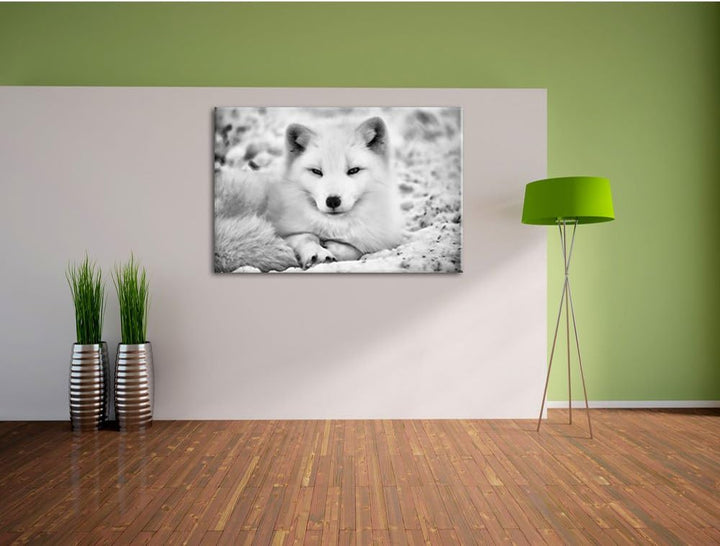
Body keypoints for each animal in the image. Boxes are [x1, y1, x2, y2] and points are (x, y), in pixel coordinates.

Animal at [214, 116, 404, 272]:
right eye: (316, 171)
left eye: (353, 170)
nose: (332, 201)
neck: (333, 226)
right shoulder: (285, 232)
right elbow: (304, 237)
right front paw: (317, 252)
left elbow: (354, 249)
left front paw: (335, 248)